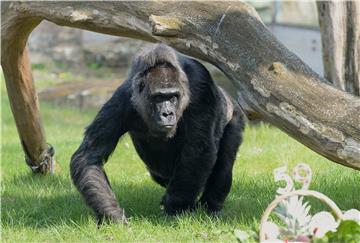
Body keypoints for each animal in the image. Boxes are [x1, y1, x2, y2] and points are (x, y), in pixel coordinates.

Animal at [69, 44, 245, 224]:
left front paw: (176, 207)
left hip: (235, 114)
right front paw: (111, 214)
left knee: (223, 162)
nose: (167, 113)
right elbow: (89, 157)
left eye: (173, 96)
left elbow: (198, 149)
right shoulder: (122, 100)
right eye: (159, 97)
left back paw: (210, 207)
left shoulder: (201, 87)